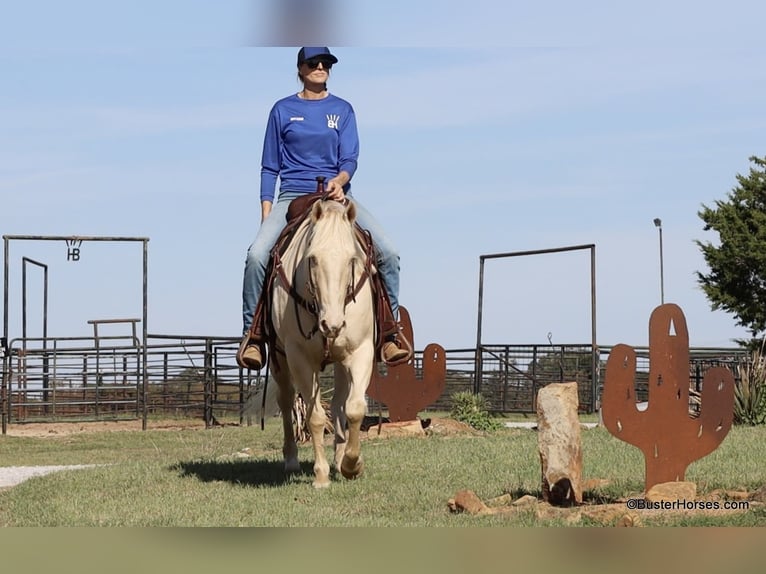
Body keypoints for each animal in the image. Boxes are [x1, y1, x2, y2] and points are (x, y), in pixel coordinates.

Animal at [264, 197, 376, 488]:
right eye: (312, 259)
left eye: (352, 259)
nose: (332, 325)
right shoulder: (299, 358)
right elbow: (313, 417)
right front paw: (321, 475)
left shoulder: (361, 351)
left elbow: (355, 408)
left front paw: (351, 464)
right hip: (279, 359)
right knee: (286, 401)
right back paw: (292, 459)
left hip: (340, 361)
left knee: (338, 404)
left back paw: (339, 458)